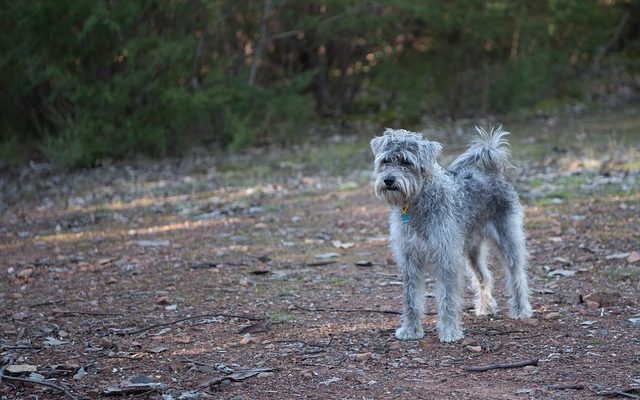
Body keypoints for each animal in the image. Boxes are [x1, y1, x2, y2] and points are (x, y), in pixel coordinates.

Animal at [370, 126, 528, 342]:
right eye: (386, 160)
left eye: (406, 162)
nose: (388, 180)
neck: (419, 201)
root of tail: (491, 170)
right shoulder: (410, 259)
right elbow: (411, 298)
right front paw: (410, 330)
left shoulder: (446, 258)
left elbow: (448, 298)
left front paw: (450, 331)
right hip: (472, 250)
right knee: (484, 277)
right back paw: (485, 307)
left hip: (508, 239)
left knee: (517, 275)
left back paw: (521, 309)